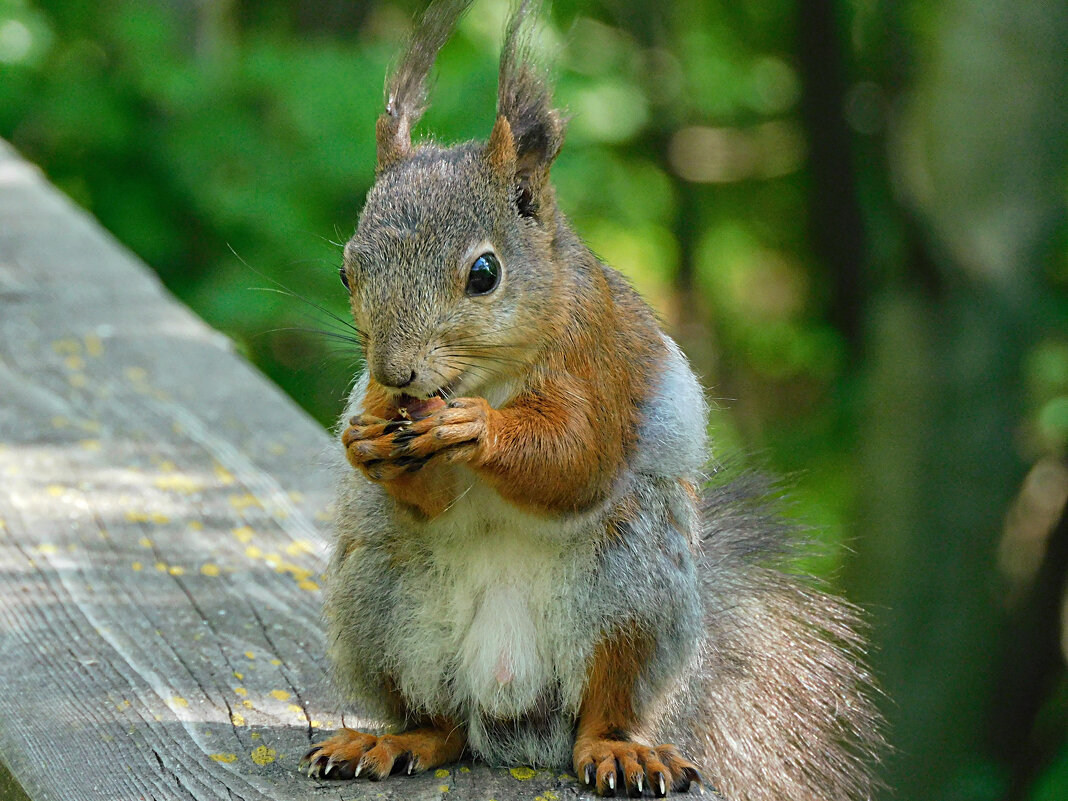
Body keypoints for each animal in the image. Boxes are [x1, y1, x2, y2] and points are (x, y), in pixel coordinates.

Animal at [300, 1, 884, 798]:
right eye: (346, 270)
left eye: (484, 273)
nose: (395, 373)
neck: (489, 376)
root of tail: (511, 706)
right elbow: (436, 499)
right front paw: (366, 443)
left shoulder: (599, 361)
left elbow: (579, 459)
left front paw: (479, 429)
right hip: (380, 605)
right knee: (439, 721)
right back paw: (394, 739)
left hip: (634, 597)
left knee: (605, 705)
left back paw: (619, 749)